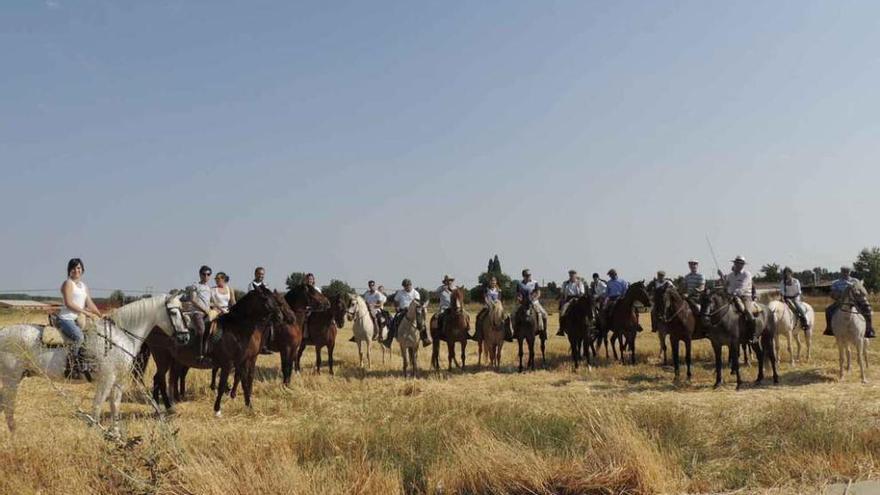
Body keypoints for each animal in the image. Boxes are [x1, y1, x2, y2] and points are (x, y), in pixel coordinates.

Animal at [0, 294, 187, 434]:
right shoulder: (106, 379)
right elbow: (97, 406)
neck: (119, 336)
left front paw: (116, 434)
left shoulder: (118, 380)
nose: (185, 337)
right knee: (8, 406)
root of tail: (3, 333)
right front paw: (93, 433)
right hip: (11, 379)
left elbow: (114, 405)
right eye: (173, 312)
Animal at [145, 286, 282, 418]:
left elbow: (244, 383)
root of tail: (154, 325)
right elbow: (222, 385)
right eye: (265, 298)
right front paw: (217, 410)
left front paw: (249, 406)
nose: (280, 317)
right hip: (163, 359)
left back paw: (158, 405)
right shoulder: (228, 364)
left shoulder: (241, 362)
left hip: (172, 360)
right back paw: (166, 406)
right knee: (161, 380)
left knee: (161, 379)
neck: (235, 329)